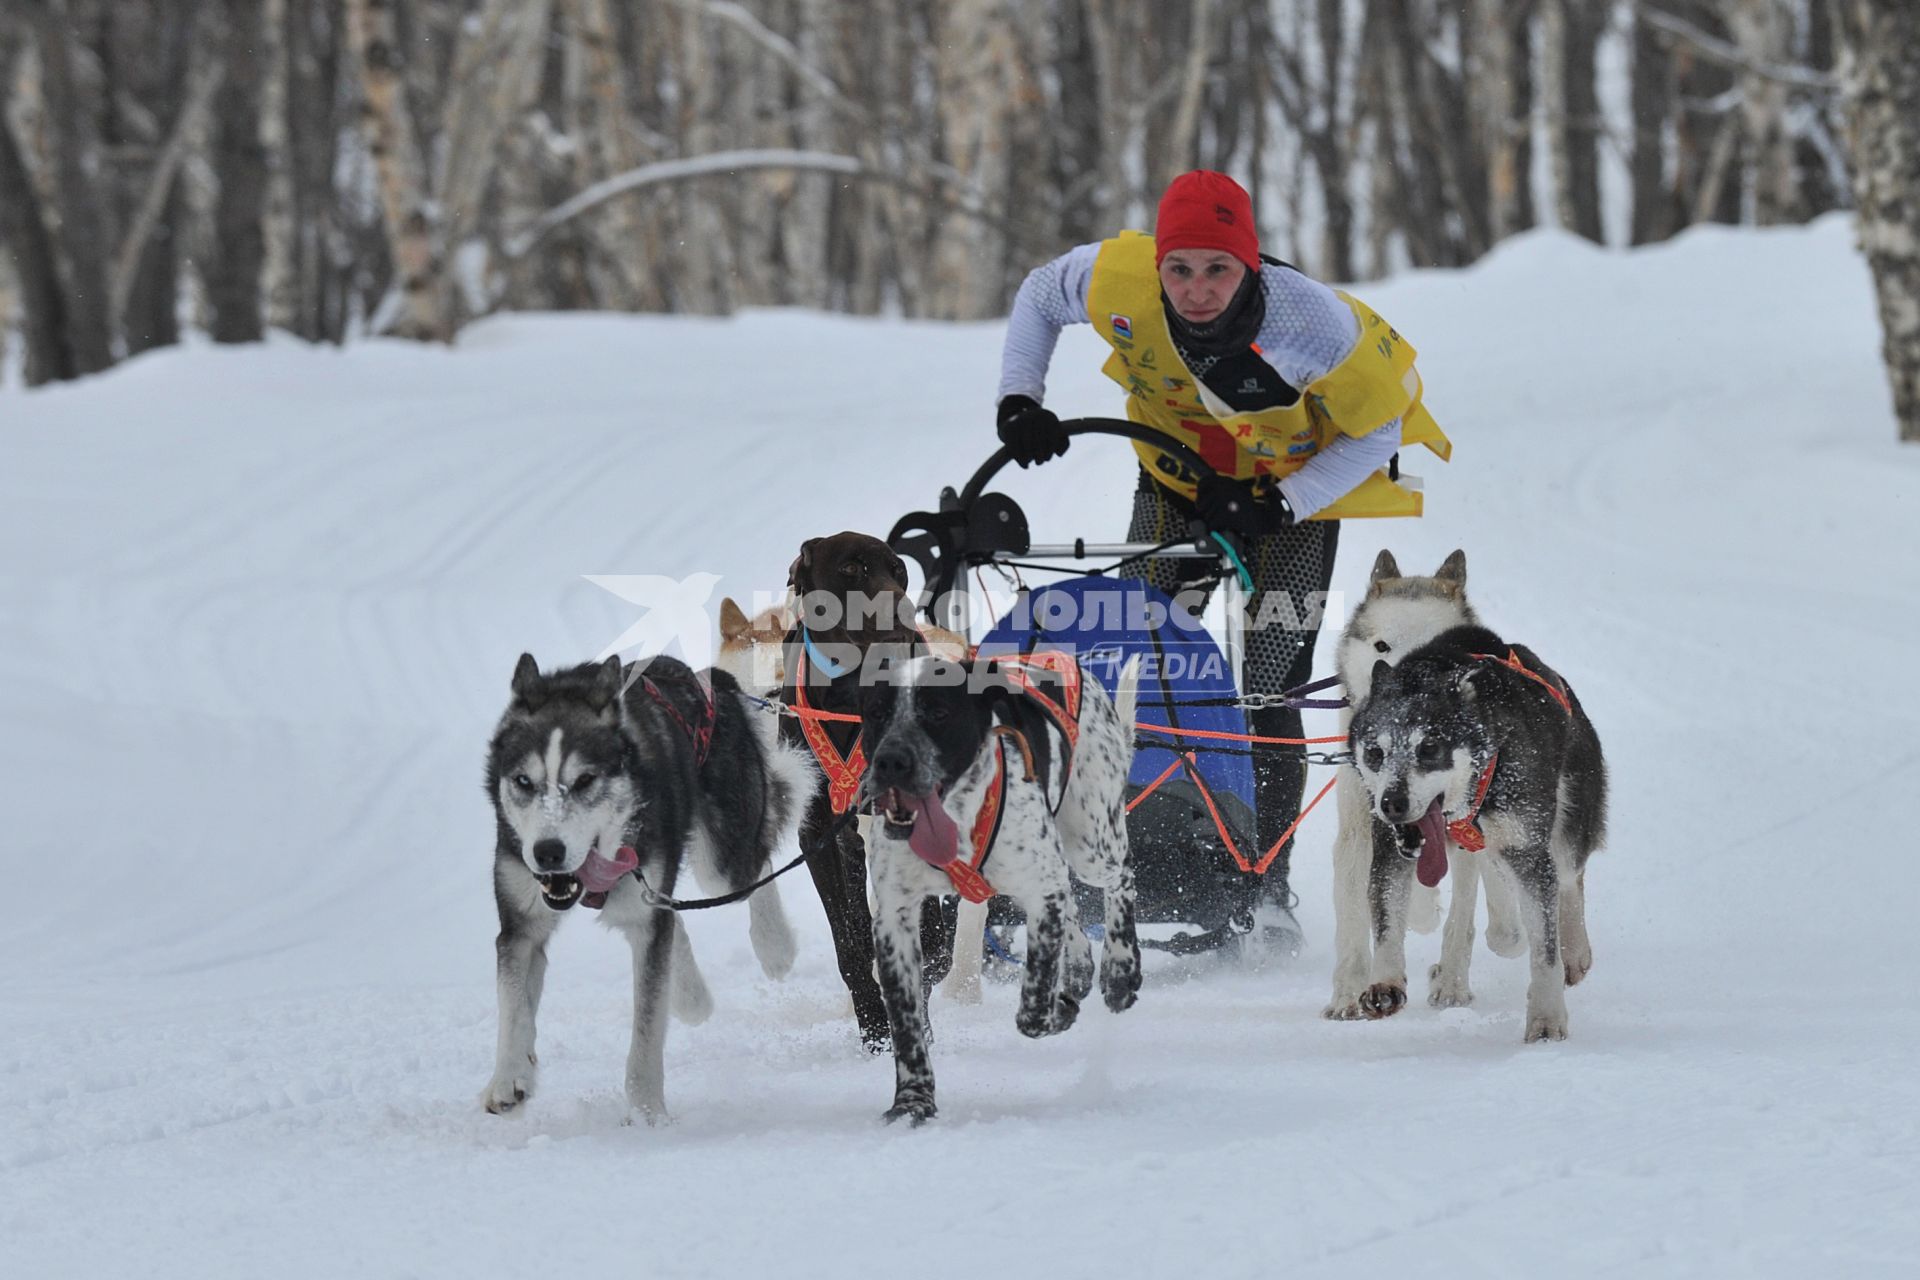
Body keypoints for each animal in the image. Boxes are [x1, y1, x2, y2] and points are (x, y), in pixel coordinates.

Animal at [487, 656, 810, 1113]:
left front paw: (646, 1113)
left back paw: (774, 945)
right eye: (523, 782)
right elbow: (513, 1002)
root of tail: (715, 677)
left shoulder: (644, 917)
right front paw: (509, 1077)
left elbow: (646, 1028)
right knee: (672, 918)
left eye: (585, 781)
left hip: (721, 861)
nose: (547, 852)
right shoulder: (520, 925)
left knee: (753, 864)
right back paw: (691, 995)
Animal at [856, 656, 1136, 1128]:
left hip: (1091, 842)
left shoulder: (1041, 890)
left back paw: (1119, 970)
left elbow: (1034, 1009)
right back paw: (1080, 966)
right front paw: (913, 1101)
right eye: (876, 712)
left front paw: (1059, 1009)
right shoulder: (894, 917)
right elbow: (906, 1023)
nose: (891, 761)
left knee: (1122, 879)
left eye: (938, 712)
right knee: (1072, 902)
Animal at [1328, 552, 1520, 1020]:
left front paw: (1451, 983)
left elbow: (1459, 916)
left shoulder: (1464, 828)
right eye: (1382, 647)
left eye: (1436, 649)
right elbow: (1357, 915)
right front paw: (1348, 993)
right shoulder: (1360, 829)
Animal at [1351, 629, 1605, 1043]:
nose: (1392, 803)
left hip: (1567, 827)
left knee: (1569, 881)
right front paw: (1385, 982)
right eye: (1375, 751)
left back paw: (1574, 951)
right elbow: (1388, 917)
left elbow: (1545, 950)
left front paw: (1547, 1018)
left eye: (1430, 747)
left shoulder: (1527, 850)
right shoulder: (1391, 848)